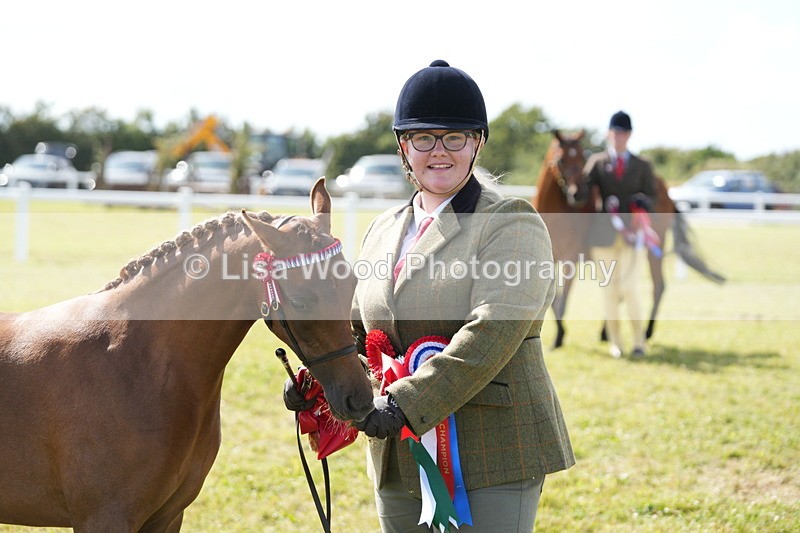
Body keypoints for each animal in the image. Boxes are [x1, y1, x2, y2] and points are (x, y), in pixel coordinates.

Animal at [0, 179, 374, 532]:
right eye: (301, 302)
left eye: (352, 286)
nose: (359, 399)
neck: (136, 363)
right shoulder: (104, 519)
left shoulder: (167, 517)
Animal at [533, 130, 725, 349]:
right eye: (561, 159)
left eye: (583, 157)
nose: (578, 194)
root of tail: (664, 188)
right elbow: (552, 301)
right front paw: (559, 335)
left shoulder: (570, 259)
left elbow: (562, 301)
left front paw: (558, 338)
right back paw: (607, 333)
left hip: (652, 248)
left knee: (656, 287)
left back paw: (646, 332)